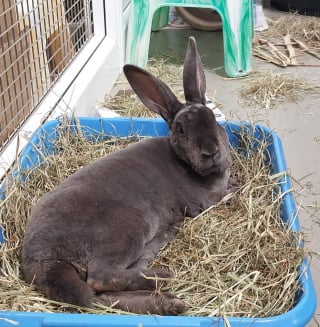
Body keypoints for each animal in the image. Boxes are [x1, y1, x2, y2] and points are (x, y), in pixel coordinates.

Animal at [21, 37, 234, 316]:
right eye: (180, 129)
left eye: (212, 119)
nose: (211, 152)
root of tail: (42, 258)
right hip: (129, 229)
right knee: (101, 278)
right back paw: (163, 278)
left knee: (99, 298)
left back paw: (169, 303)